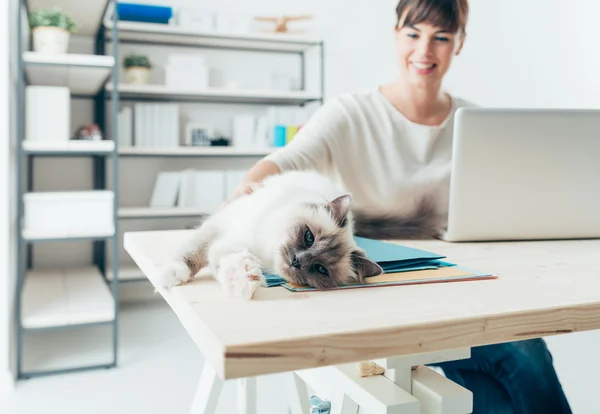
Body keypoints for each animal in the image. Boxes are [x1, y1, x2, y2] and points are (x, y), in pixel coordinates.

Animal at [158, 170, 384, 300]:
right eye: (309, 237)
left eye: (321, 269)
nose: (297, 261)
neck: (264, 249)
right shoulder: (220, 226)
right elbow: (193, 251)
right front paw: (172, 276)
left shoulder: (229, 243)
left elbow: (224, 260)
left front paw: (241, 281)